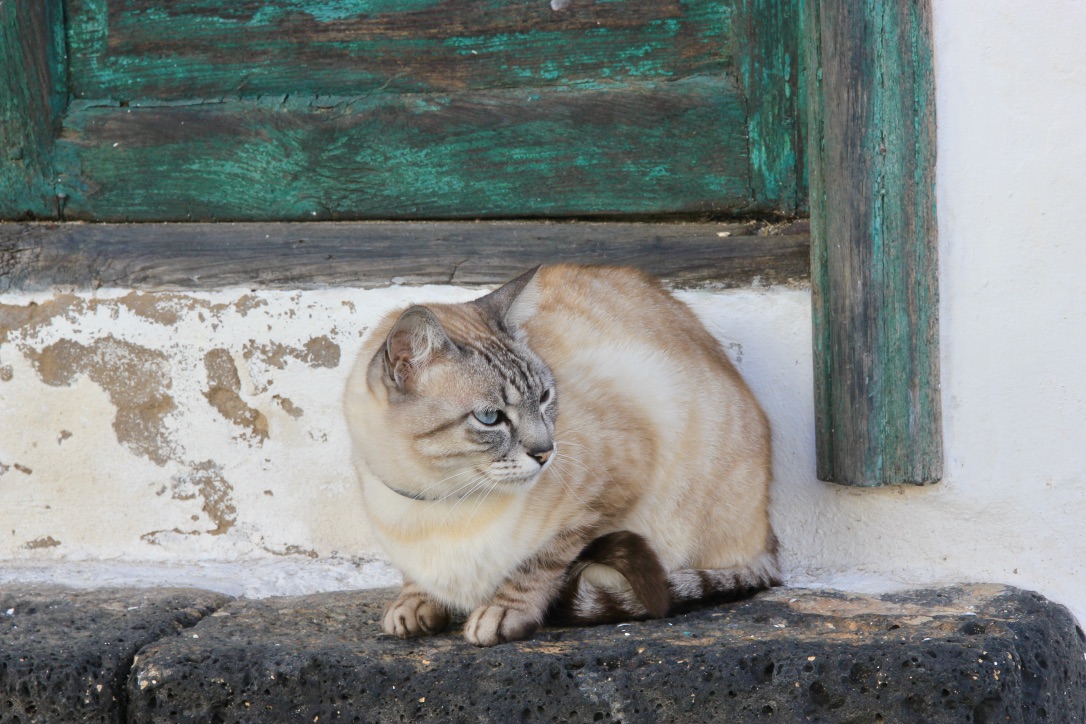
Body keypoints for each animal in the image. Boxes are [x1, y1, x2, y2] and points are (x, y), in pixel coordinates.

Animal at [343, 264, 777, 646]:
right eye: (490, 418)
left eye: (545, 397)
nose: (545, 452)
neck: (439, 500)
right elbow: (414, 577)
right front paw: (414, 604)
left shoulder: (607, 491)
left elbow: (540, 562)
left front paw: (503, 613)